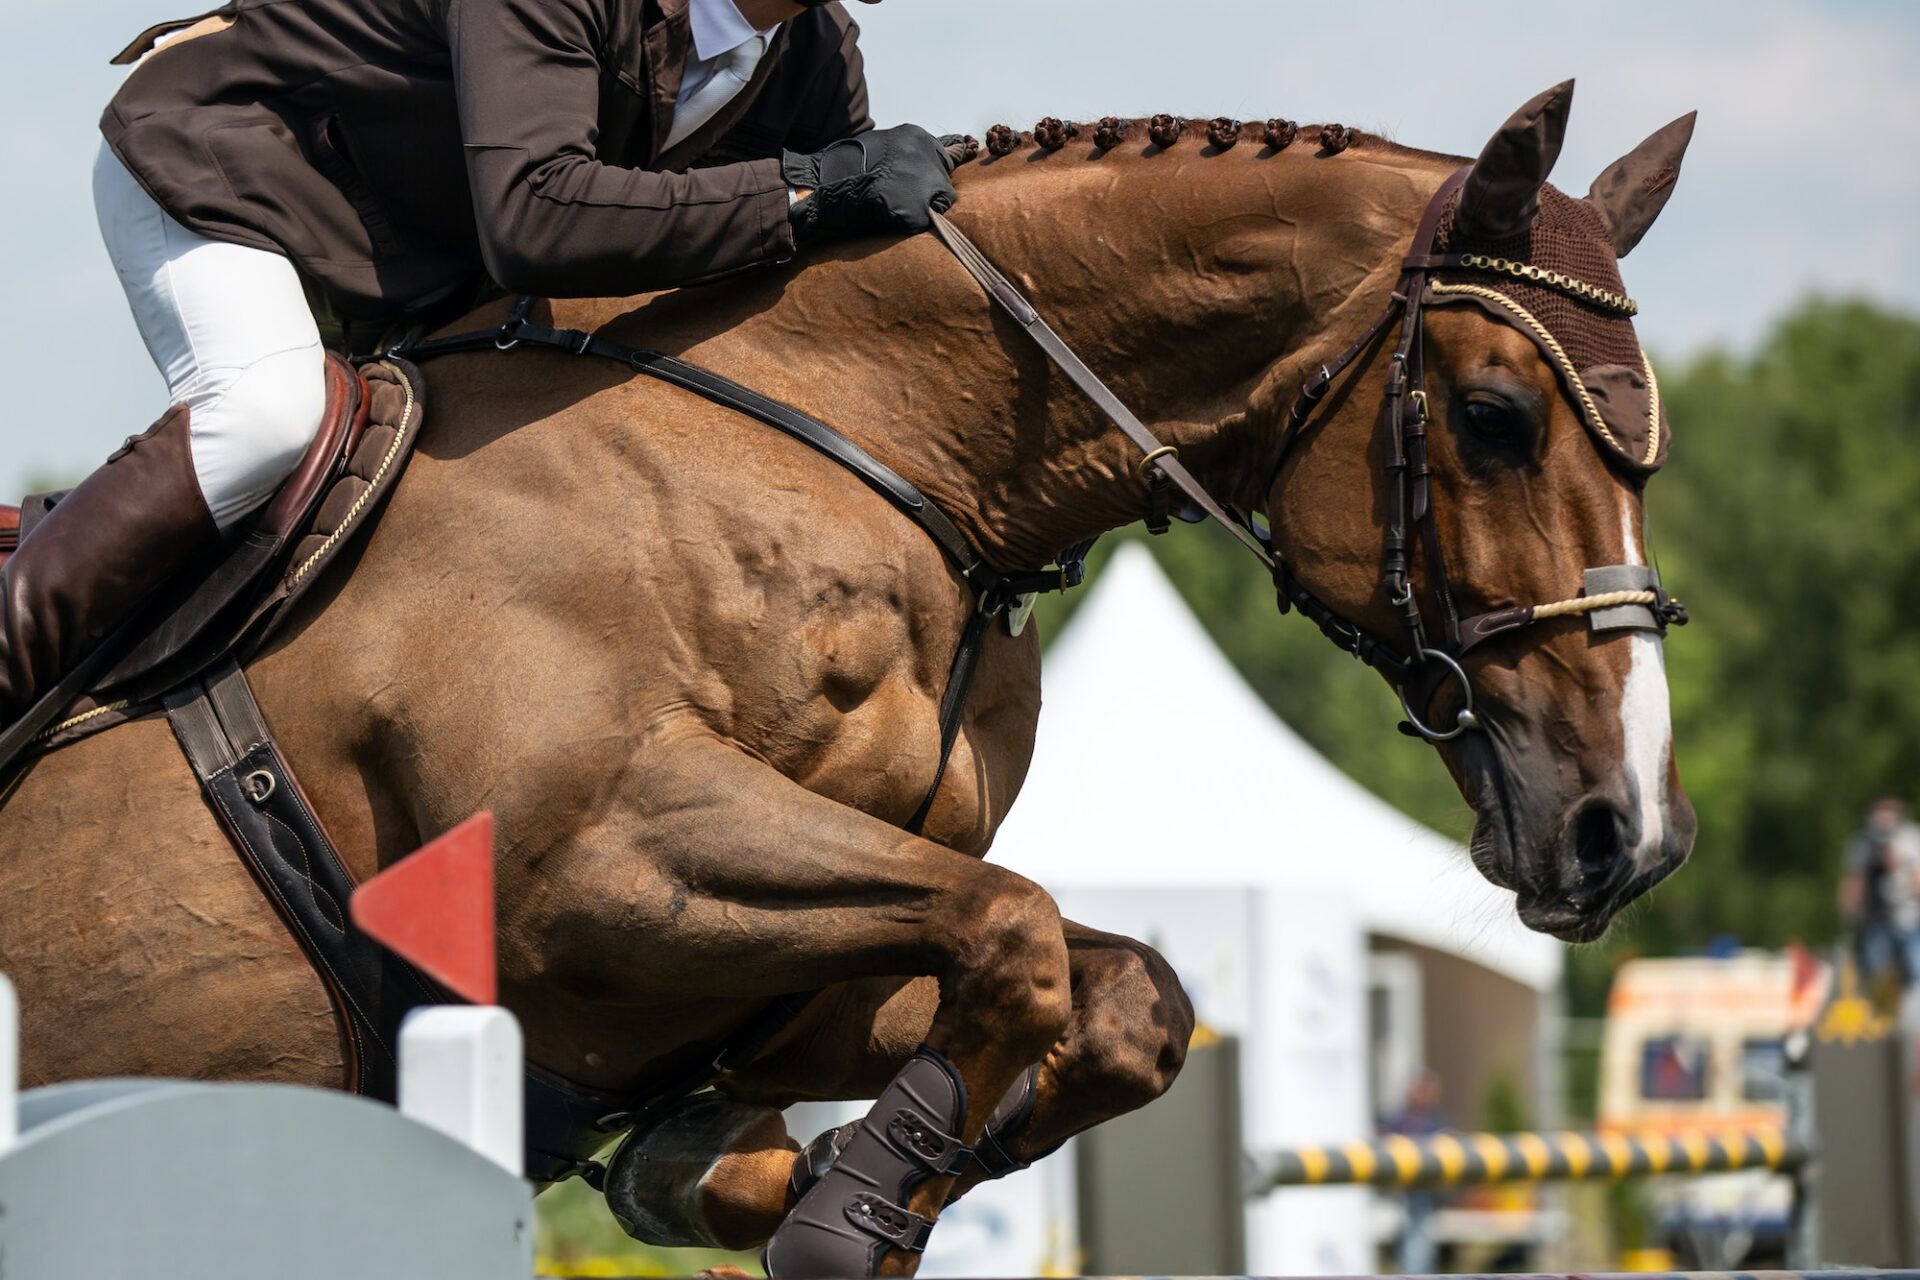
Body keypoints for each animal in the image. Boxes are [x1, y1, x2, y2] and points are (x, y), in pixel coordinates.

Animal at [0, 82, 1689, 1274]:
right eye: (1492, 416)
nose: (1626, 832)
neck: (868, 456)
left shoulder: (764, 974)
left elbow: (1118, 997)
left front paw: (773, 1177)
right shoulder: (588, 870)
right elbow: (1018, 935)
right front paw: (824, 1218)